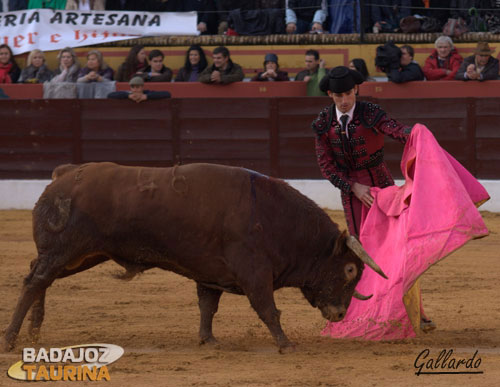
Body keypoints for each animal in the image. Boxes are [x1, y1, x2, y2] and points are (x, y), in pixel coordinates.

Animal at [0, 162, 386, 354]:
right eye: (349, 269)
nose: (340, 314)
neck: (275, 218)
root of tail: (62, 176)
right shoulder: (254, 274)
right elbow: (268, 310)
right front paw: (286, 344)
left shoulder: (211, 274)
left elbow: (207, 306)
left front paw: (208, 340)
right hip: (67, 249)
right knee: (34, 281)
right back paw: (11, 339)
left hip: (80, 256)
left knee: (40, 278)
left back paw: (34, 332)